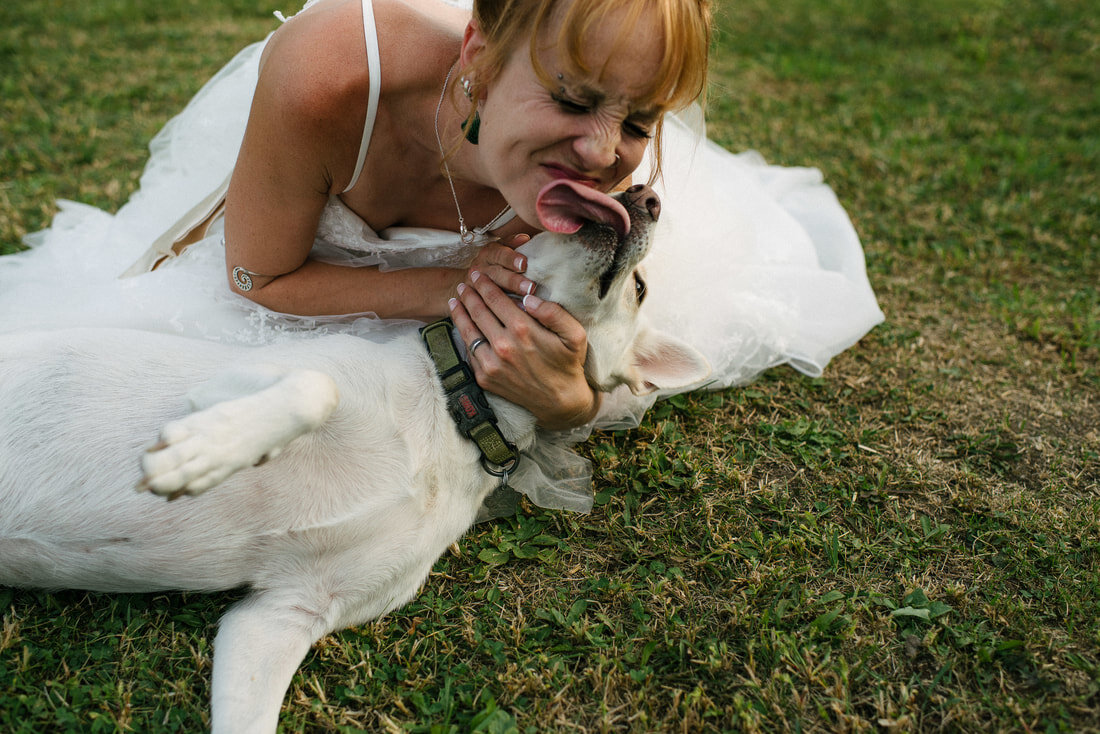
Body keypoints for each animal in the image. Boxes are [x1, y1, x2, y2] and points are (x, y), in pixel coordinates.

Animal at [0, 182, 704, 730]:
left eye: (639, 288)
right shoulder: (252, 377)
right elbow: (316, 387)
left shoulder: (282, 615)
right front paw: (198, 453)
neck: (457, 413)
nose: (647, 193)